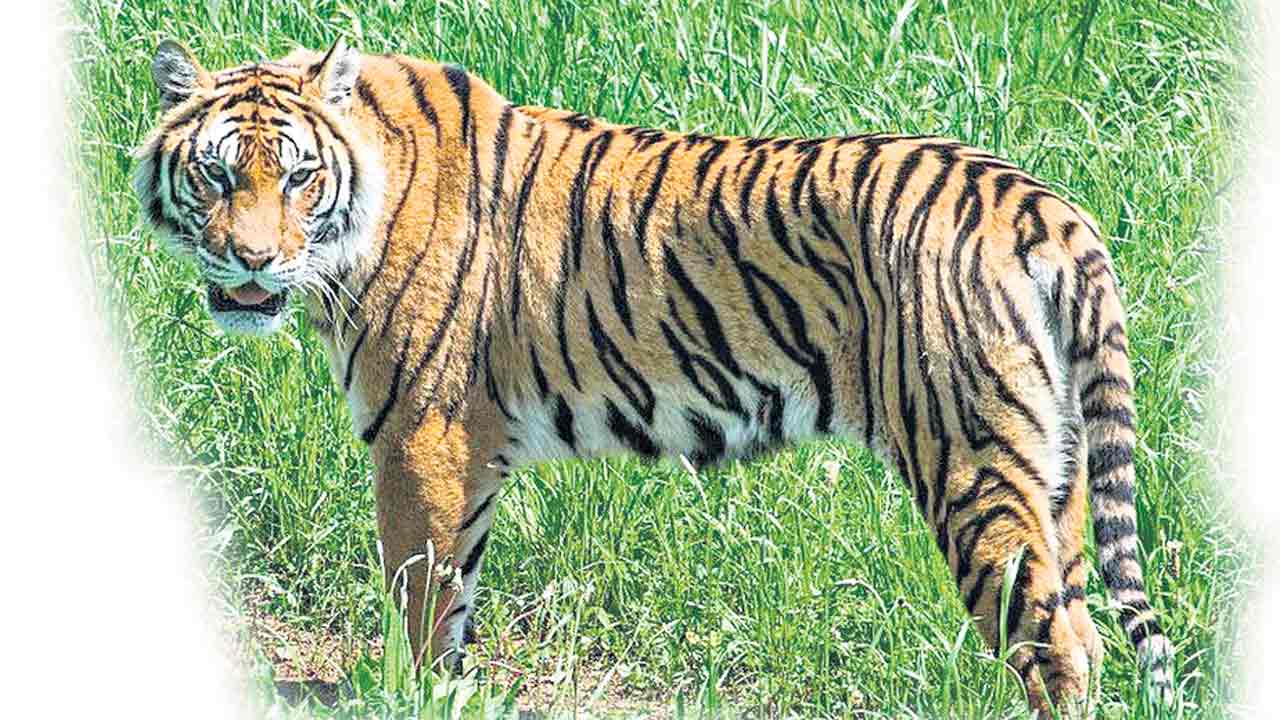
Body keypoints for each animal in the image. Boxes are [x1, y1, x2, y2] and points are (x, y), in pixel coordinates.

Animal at [133, 38, 1174, 713]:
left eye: (298, 177)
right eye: (218, 176)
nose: (253, 262)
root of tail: (1036, 201)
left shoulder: (419, 436)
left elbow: (421, 596)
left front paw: (412, 696)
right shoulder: (467, 453)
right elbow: (455, 595)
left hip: (971, 463)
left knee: (1056, 646)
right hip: (1054, 470)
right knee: (1081, 625)